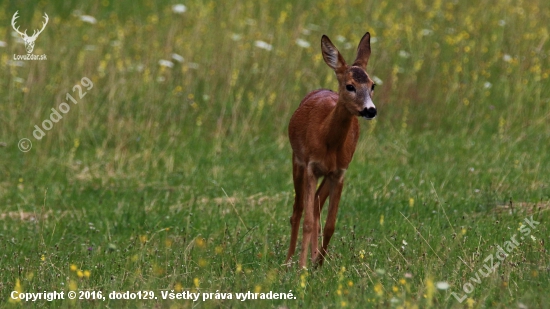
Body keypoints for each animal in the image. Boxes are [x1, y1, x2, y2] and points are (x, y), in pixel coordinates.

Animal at [286, 31, 378, 268]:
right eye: (350, 86)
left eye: (372, 85)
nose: (370, 110)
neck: (328, 141)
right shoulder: (310, 165)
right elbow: (307, 221)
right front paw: (301, 267)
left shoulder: (340, 171)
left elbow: (330, 224)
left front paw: (318, 264)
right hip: (297, 161)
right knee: (298, 211)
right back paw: (289, 261)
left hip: (326, 174)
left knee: (316, 204)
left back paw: (313, 257)